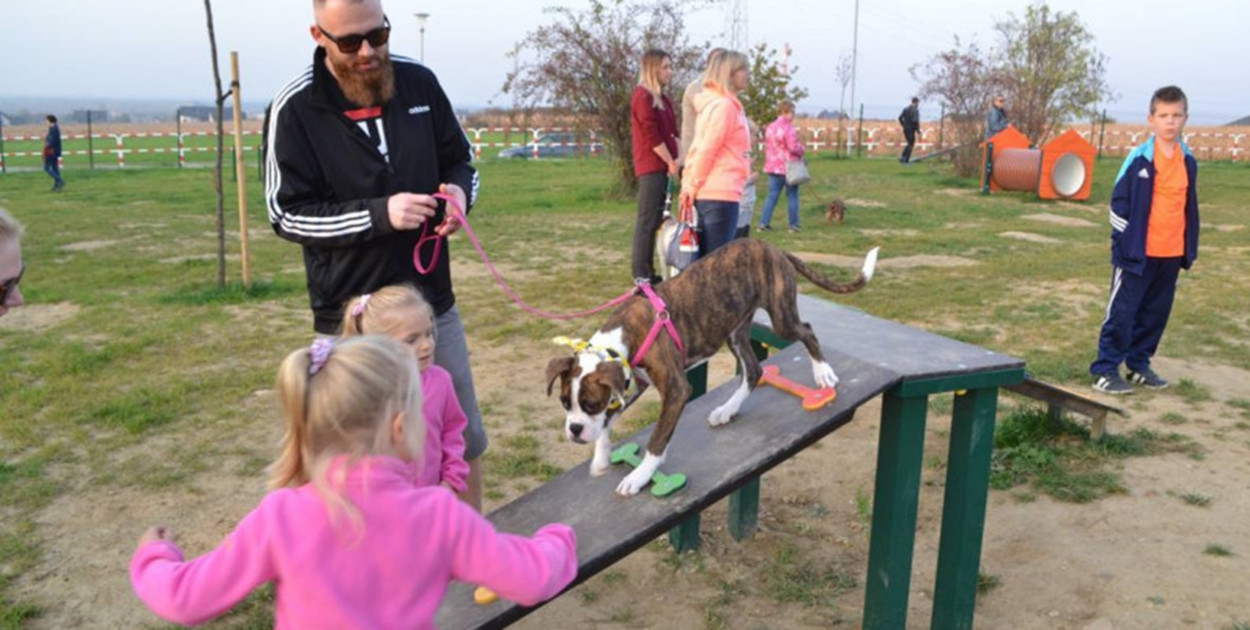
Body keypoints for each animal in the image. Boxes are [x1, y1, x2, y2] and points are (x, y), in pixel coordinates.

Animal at [547, 238, 880, 495]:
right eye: (564, 403)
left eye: (590, 404)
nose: (574, 430)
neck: (622, 338)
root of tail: (774, 248)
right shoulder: (631, 384)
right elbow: (608, 422)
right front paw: (601, 458)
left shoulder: (676, 390)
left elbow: (657, 439)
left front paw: (640, 475)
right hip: (736, 331)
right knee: (753, 371)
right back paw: (727, 410)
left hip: (782, 318)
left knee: (807, 331)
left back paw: (822, 371)